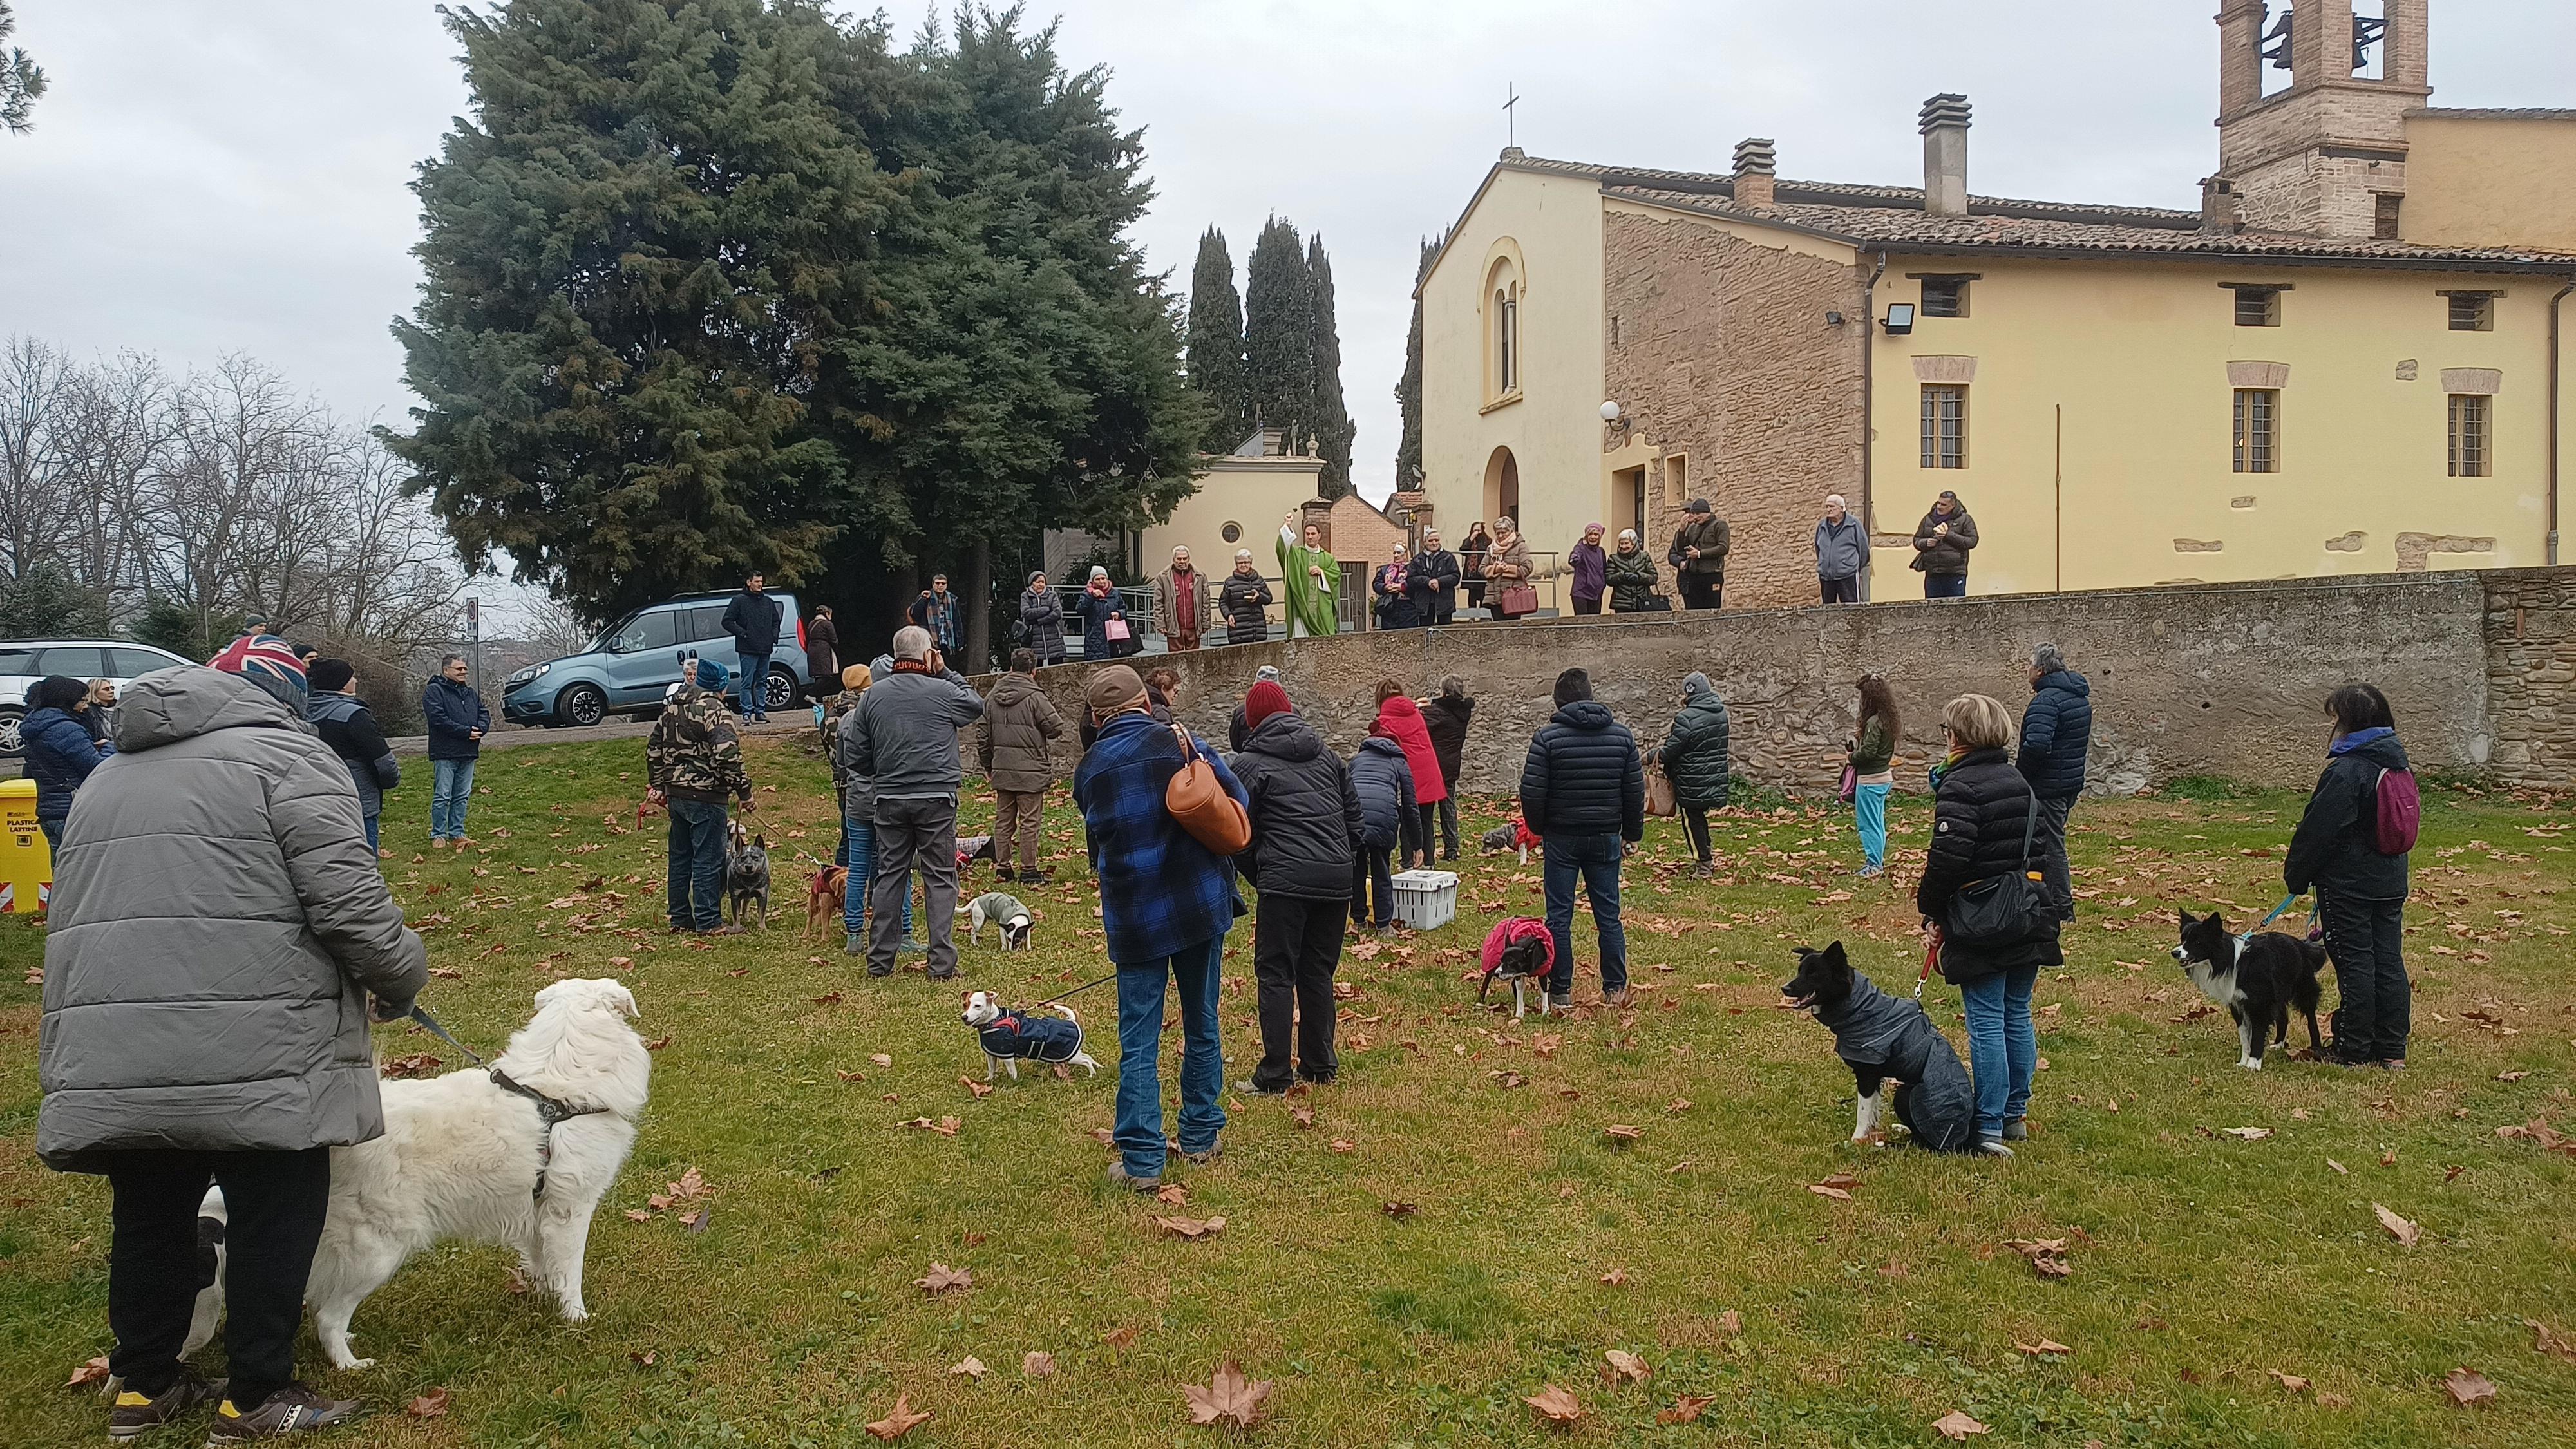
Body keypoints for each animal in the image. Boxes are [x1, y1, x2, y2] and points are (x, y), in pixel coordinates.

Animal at [178, 969, 649, 1361]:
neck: (557, 1089)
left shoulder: (537, 1210)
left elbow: (542, 1263)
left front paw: (542, 1297)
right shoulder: (570, 1210)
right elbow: (570, 1272)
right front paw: (576, 1319)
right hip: (379, 1251)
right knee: (327, 1314)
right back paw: (350, 1366)